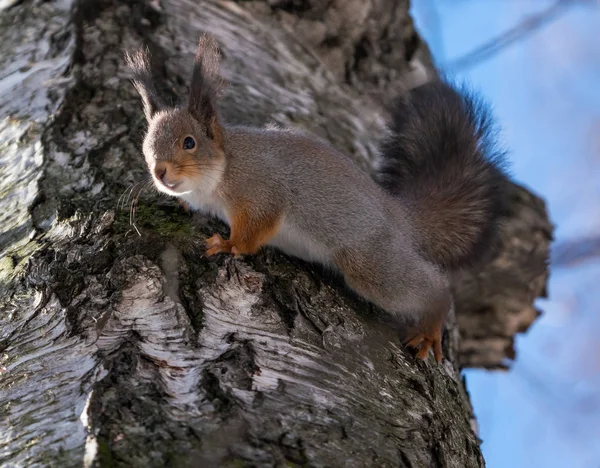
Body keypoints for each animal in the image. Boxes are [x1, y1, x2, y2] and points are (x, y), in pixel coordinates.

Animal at [124, 34, 508, 364]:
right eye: (146, 144)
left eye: (189, 142)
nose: (160, 172)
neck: (224, 166)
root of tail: (399, 215)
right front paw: (184, 204)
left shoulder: (261, 190)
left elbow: (256, 228)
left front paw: (229, 244)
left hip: (370, 262)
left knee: (433, 288)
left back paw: (430, 325)